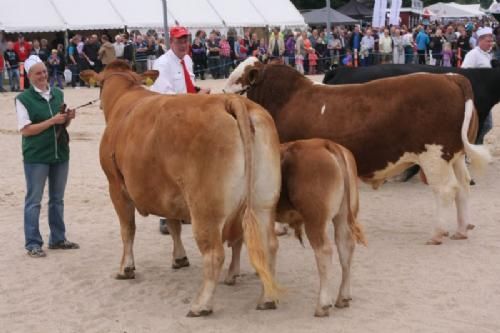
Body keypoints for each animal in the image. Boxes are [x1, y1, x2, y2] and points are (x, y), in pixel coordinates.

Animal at [80, 60, 280, 316]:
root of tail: (231, 101)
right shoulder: (168, 192)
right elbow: (173, 225)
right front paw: (179, 258)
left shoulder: (115, 186)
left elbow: (127, 230)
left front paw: (126, 268)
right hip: (263, 202)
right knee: (269, 245)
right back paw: (267, 298)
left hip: (205, 209)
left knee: (214, 254)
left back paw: (201, 304)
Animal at [225, 137, 366, 316]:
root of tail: (325, 143)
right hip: (343, 216)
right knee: (345, 247)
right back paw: (343, 297)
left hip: (315, 220)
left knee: (324, 251)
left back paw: (322, 304)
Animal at [226, 57, 492, 244]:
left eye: (239, 80)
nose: (224, 96)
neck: (285, 99)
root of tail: (450, 77)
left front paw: (280, 227)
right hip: (454, 156)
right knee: (463, 187)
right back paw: (461, 229)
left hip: (434, 156)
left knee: (446, 190)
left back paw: (437, 233)